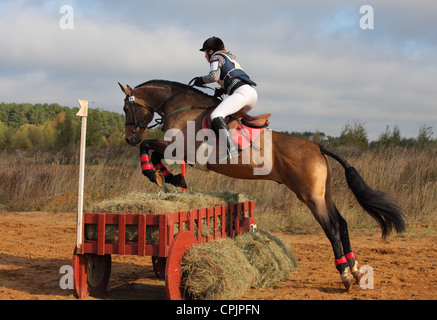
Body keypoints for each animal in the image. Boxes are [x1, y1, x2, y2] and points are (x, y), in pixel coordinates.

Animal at [119, 79, 406, 290]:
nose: (129, 138)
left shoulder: (178, 148)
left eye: (125, 109)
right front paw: (169, 177)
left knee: (332, 228)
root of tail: (318, 147)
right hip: (324, 195)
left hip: (310, 197)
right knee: (343, 223)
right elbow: (155, 155)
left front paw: (157, 174)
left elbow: (150, 149)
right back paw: (355, 268)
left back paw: (345, 275)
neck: (182, 107)